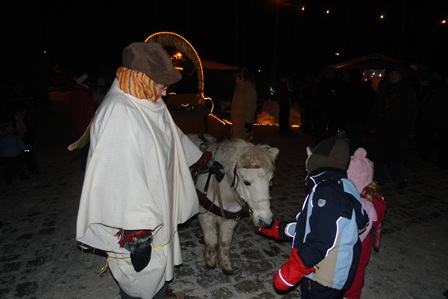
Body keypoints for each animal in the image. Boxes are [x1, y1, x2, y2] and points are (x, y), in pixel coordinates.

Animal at [187, 135, 278, 276]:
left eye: (270, 181)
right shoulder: (206, 216)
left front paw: (225, 264)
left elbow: (225, 242)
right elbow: (212, 241)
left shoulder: (231, 220)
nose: (265, 221)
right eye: (246, 182)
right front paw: (210, 260)